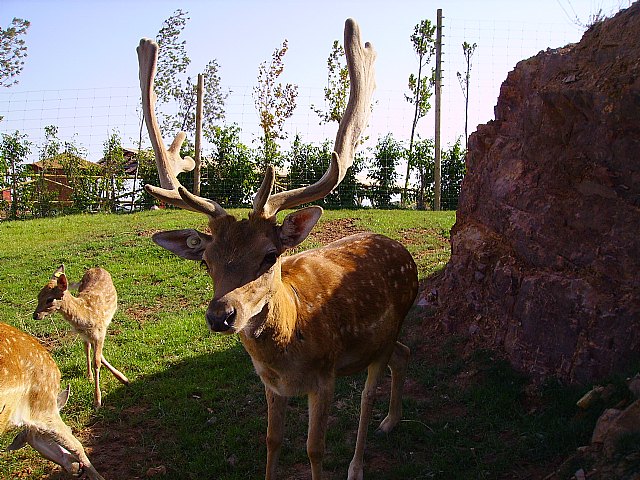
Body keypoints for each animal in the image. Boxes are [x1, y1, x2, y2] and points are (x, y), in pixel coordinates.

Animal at [33, 266, 129, 408]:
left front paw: (97, 401)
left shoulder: (100, 332)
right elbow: (92, 354)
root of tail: (97, 267)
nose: (35, 315)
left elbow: (97, 361)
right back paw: (89, 376)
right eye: (38, 295)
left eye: (50, 299)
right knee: (87, 349)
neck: (85, 316)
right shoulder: (85, 335)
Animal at [138, 16, 418, 478]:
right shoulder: (271, 385)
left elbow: (314, 448)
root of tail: (404, 253)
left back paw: (360, 460)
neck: (290, 340)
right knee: (404, 353)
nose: (221, 315)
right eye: (206, 262)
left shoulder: (325, 377)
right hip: (376, 343)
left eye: (271, 256)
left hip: (386, 331)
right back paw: (392, 421)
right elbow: (271, 441)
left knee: (368, 393)